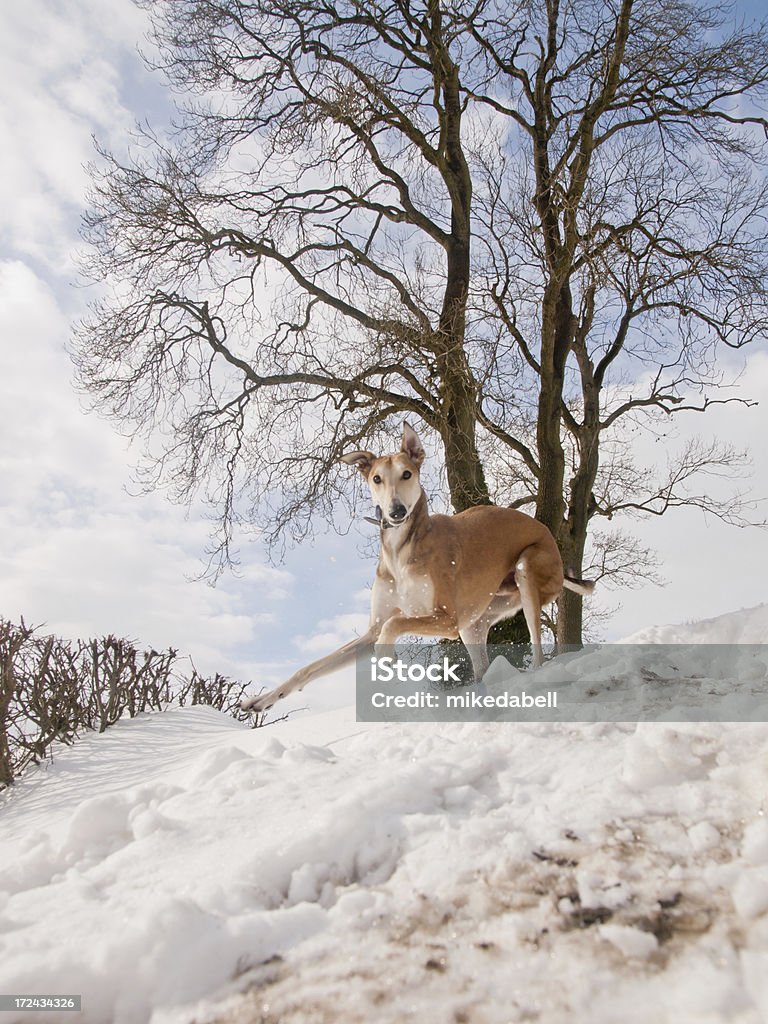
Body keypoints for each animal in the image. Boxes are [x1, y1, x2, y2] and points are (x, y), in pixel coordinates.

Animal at [243, 423, 593, 712]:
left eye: (407, 474)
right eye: (376, 479)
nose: (396, 511)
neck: (401, 552)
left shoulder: (445, 619)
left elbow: (394, 624)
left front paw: (387, 658)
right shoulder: (374, 630)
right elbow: (314, 665)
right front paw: (263, 699)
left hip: (525, 571)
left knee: (538, 650)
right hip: (475, 622)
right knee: (482, 665)